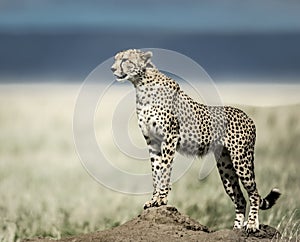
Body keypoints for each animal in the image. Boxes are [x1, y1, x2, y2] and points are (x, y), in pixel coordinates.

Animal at [110, 48, 282, 232]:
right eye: (116, 59)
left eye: (125, 60)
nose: (112, 69)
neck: (141, 84)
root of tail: (248, 116)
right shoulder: (153, 142)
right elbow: (156, 171)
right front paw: (154, 200)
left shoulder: (169, 138)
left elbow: (164, 170)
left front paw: (161, 199)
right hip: (225, 167)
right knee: (240, 198)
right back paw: (235, 229)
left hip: (241, 160)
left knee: (254, 193)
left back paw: (251, 225)